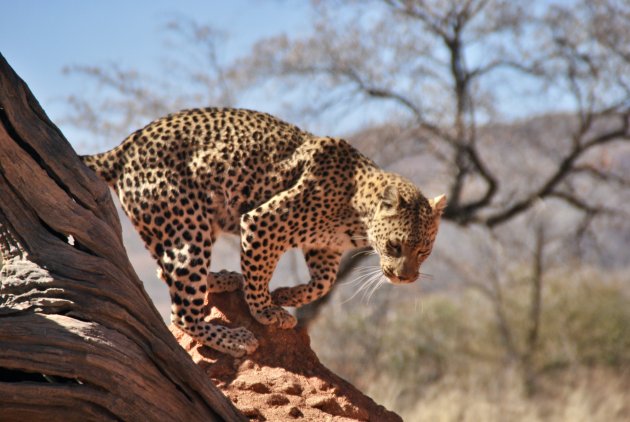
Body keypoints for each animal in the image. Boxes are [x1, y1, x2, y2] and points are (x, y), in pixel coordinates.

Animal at [81, 108, 446, 356]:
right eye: (395, 245)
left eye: (423, 250)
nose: (404, 279)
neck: (357, 215)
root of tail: (123, 148)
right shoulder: (262, 221)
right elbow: (259, 273)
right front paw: (266, 309)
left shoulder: (323, 247)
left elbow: (324, 282)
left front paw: (285, 295)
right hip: (186, 228)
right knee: (182, 313)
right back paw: (234, 339)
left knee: (164, 273)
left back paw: (222, 279)